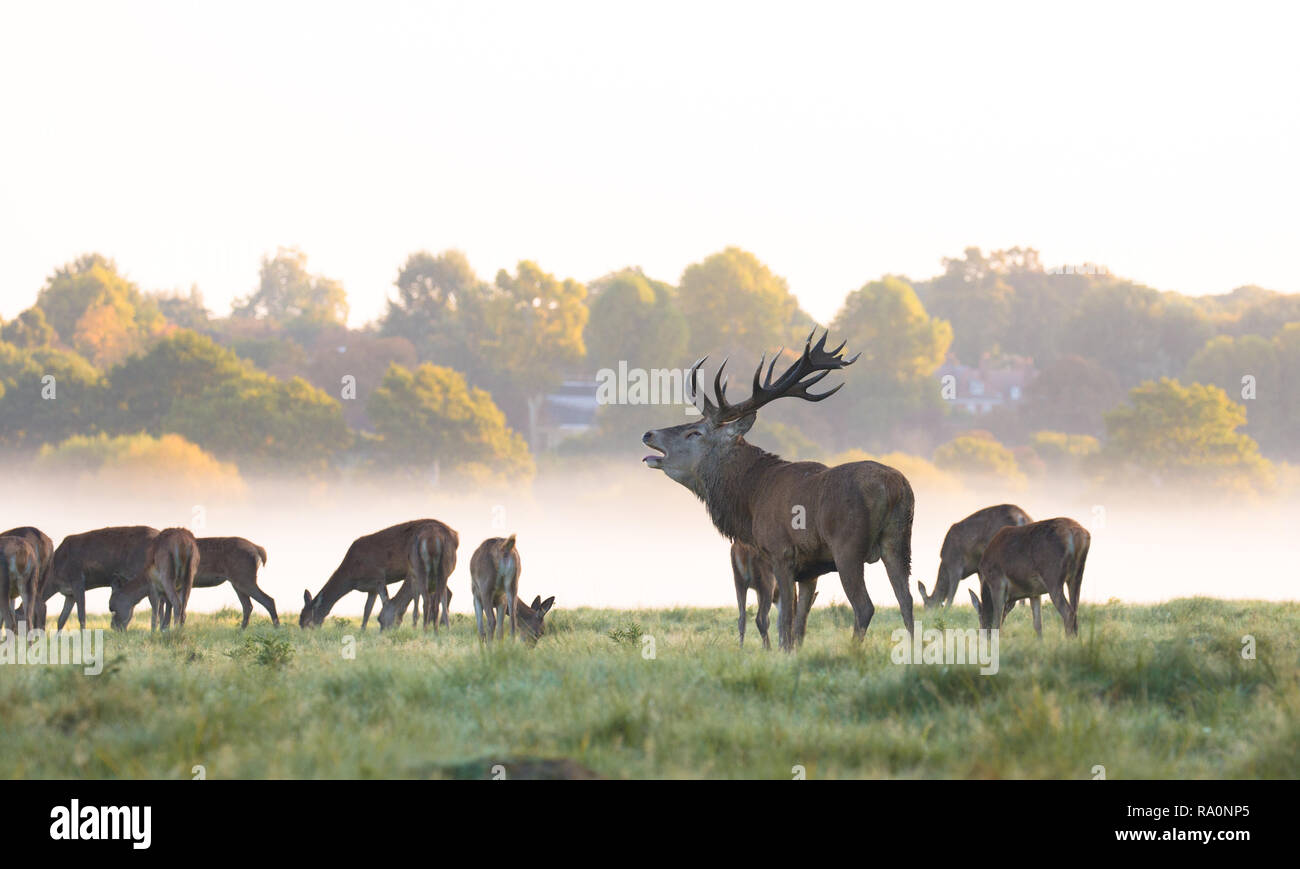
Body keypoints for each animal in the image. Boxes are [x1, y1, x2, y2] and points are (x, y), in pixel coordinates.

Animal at [109, 533, 276, 627]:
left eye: (112, 606)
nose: (113, 626)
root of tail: (259, 550)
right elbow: (172, 611)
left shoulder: (156, 588)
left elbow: (158, 613)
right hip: (237, 581)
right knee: (248, 606)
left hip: (244, 577)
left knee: (268, 600)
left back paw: (276, 629)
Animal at [300, 520, 457, 627]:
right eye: (300, 620)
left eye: (307, 622)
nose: (305, 636)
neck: (352, 575)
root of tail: (454, 534)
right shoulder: (371, 588)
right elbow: (366, 610)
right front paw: (362, 631)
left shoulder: (379, 577)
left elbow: (382, 604)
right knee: (447, 592)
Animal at [642, 329, 915, 647]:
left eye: (694, 432)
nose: (649, 434)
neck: (751, 500)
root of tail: (895, 487)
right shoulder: (810, 570)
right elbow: (799, 625)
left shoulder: (781, 553)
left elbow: (785, 623)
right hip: (899, 541)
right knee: (907, 601)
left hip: (848, 546)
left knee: (865, 606)